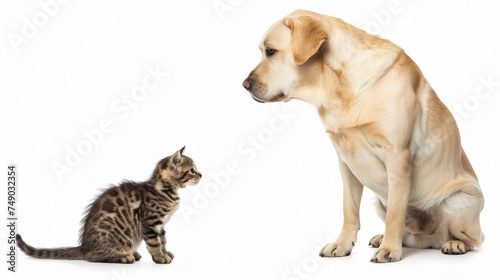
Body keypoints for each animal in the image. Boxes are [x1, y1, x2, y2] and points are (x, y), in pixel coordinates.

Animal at [16, 148, 202, 264]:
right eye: (192, 170)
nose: (201, 174)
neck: (165, 189)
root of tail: (84, 247)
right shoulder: (150, 223)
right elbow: (154, 242)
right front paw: (159, 257)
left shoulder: (161, 224)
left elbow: (162, 240)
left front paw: (165, 252)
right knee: (94, 257)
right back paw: (124, 257)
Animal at [242, 9, 484, 262]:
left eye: (270, 51)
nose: (244, 85)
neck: (339, 86)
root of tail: (430, 240)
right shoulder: (346, 162)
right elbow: (349, 210)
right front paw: (342, 245)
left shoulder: (398, 157)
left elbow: (396, 213)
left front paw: (390, 250)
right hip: (379, 201)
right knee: (409, 235)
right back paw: (384, 237)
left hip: (462, 201)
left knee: (473, 239)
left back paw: (453, 243)